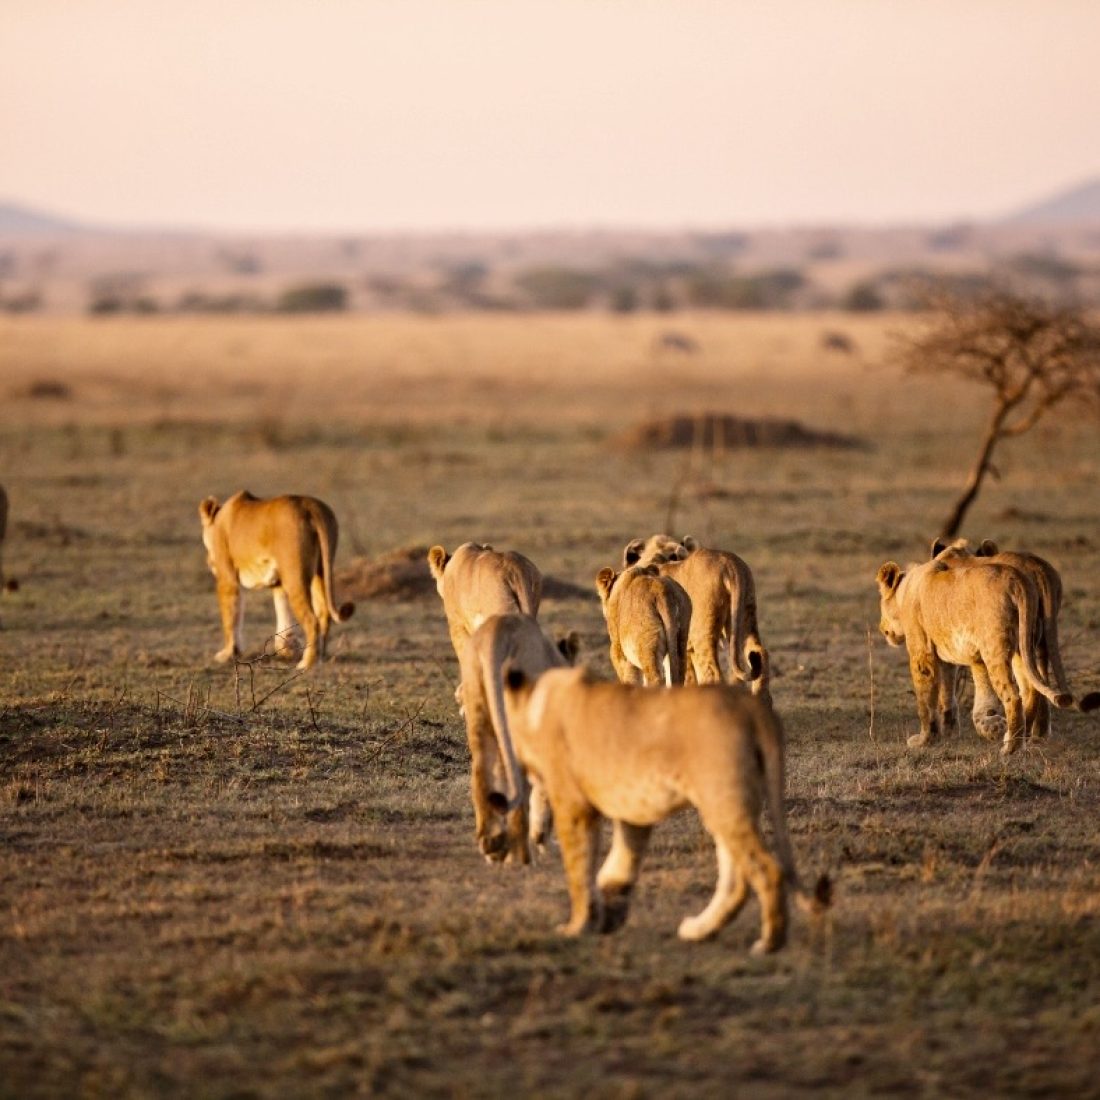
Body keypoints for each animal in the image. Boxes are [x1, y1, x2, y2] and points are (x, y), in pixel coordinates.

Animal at [198, 491, 354, 670]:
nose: (208, 561)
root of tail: (311, 507)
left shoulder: (227, 578)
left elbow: (230, 617)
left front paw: (227, 654)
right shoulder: (278, 582)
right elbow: (282, 612)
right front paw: (285, 650)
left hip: (295, 576)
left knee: (311, 619)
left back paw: (306, 663)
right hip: (320, 570)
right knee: (324, 613)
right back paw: (320, 657)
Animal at [458, 613, 578, 865]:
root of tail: (496, 632)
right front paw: (542, 836)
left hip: (476, 696)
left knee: (481, 769)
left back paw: (493, 846)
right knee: (519, 782)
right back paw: (521, 856)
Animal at [501, 667, 829, 949]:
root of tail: (750, 706)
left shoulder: (573, 806)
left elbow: (578, 869)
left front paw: (577, 926)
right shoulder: (633, 811)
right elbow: (620, 863)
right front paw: (609, 913)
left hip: (723, 800)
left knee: (766, 869)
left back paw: (769, 943)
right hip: (726, 806)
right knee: (737, 878)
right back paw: (699, 930)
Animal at [876, 557, 1086, 755]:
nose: (881, 627)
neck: (904, 591)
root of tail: (1017, 579)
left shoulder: (921, 651)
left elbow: (925, 701)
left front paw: (924, 740)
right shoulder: (955, 657)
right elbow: (952, 693)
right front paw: (952, 731)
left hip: (994, 649)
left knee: (1013, 695)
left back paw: (1012, 748)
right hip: (1023, 645)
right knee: (1030, 690)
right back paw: (1018, 738)